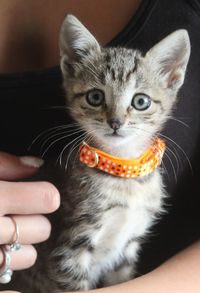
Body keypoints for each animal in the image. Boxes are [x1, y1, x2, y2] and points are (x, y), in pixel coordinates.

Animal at [7, 14, 190, 292]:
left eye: (141, 101)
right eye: (95, 97)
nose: (115, 122)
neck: (124, 172)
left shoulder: (127, 250)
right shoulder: (69, 251)